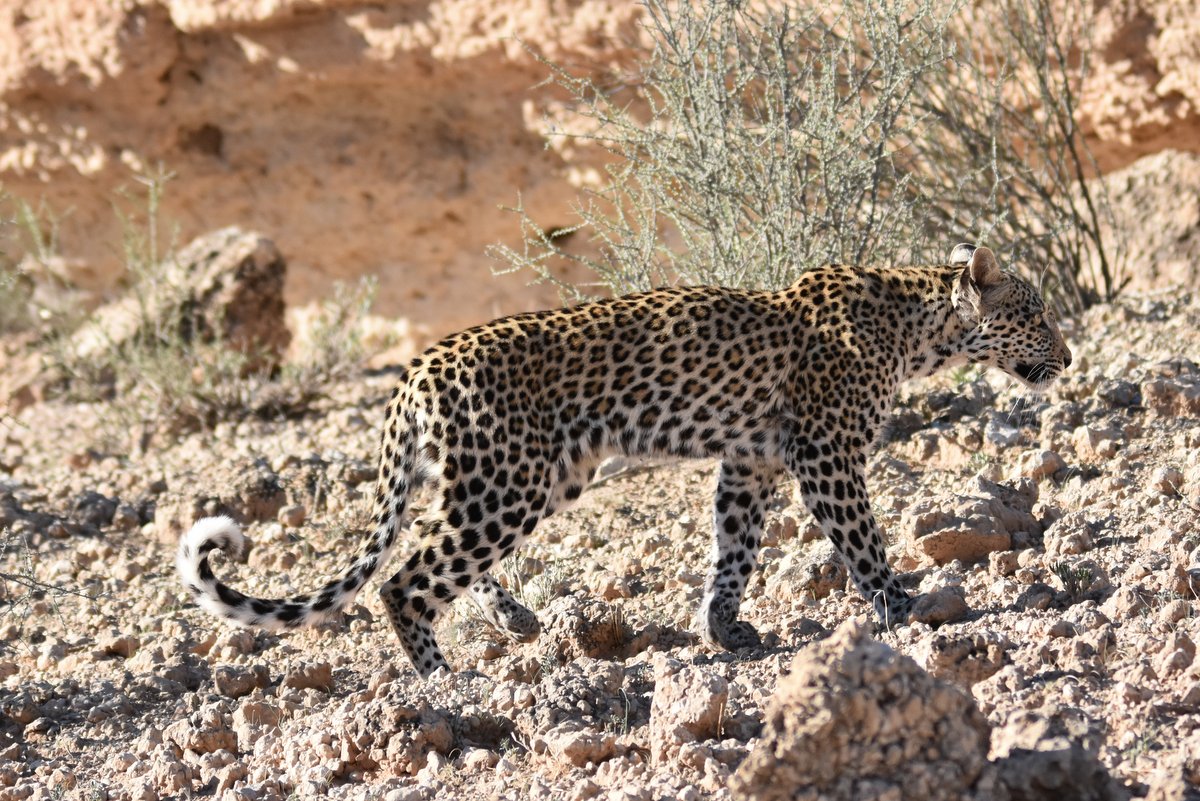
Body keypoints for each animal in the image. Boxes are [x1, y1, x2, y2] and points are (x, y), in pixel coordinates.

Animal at [178, 243, 1071, 678]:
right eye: (1033, 313)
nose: (1066, 355)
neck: (917, 325)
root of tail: (419, 364)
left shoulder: (749, 462)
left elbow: (734, 550)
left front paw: (724, 628)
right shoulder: (826, 452)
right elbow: (863, 541)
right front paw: (906, 606)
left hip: (508, 479)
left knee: (431, 546)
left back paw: (513, 616)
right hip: (508, 481)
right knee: (406, 579)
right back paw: (446, 679)